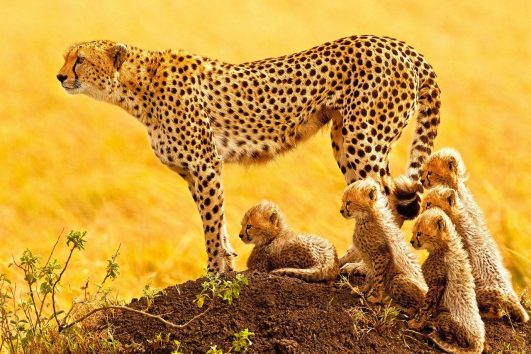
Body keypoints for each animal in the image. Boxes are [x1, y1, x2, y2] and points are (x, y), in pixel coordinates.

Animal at [56, 36, 442, 272]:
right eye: (66, 57)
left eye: (81, 59)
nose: (59, 76)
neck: (137, 86)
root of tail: (397, 43)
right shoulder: (194, 172)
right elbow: (215, 222)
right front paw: (226, 262)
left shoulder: (205, 164)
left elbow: (212, 223)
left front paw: (215, 272)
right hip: (345, 138)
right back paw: (351, 259)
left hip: (362, 139)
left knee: (386, 200)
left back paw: (361, 264)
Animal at [340, 178, 428, 312]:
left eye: (348, 202)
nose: (341, 211)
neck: (366, 219)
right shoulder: (370, 259)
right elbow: (370, 276)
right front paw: (362, 290)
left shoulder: (381, 256)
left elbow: (378, 279)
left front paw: (377, 298)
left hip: (398, 279)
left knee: (414, 309)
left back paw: (392, 304)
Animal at [412, 207, 486, 354]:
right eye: (413, 232)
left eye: (419, 233)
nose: (411, 241)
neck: (444, 246)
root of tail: (479, 341)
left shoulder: (436, 286)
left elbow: (426, 306)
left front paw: (417, 324)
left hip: (445, 315)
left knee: (454, 341)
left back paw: (435, 333)